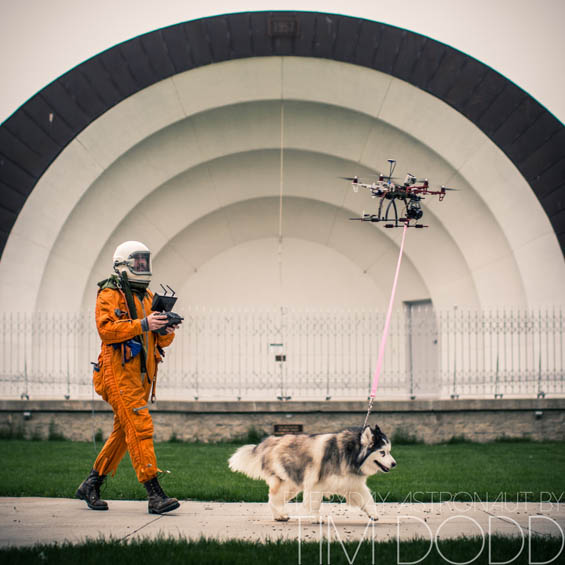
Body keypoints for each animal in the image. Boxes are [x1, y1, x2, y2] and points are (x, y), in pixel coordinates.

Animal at [227, 424, 394, 520]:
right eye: (382, 452)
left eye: (389, 451)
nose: (394, 464)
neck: (350, 452)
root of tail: (271, 441)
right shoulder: (316, 484)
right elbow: (314, 503)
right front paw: (316, 518)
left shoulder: (352, 484)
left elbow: (368, 499)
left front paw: (373, 514)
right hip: (287, 482)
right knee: (272, 498)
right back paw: (280, 515)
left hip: (292, 486)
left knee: (274, 499)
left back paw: (279, 516)